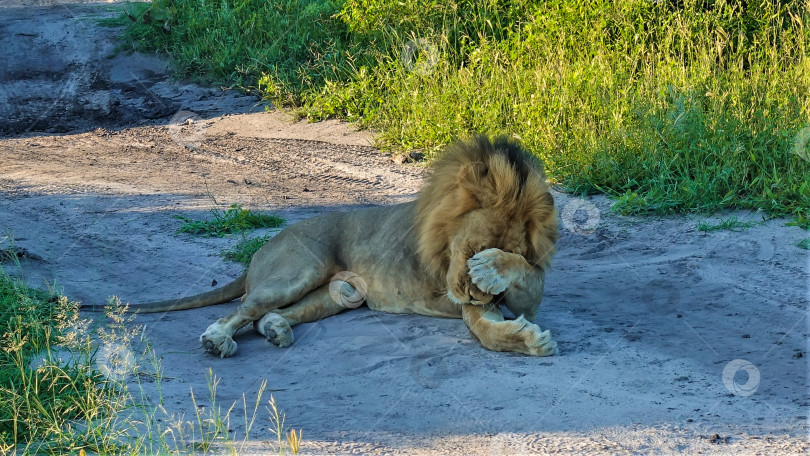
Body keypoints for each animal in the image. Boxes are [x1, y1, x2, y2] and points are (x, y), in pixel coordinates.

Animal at [87, 134, 556, 356]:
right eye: (471, 248)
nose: (476, 294)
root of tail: (261, 249)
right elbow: (484, 329)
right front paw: (529, 339)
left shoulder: (510, 295)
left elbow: (516, 290)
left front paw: (527, 336)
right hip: (301, 269)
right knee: (241, 311)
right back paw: (216, 340)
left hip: (339, 292)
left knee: (266, 316)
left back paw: (276, 330)